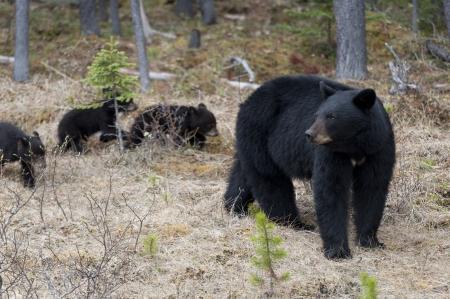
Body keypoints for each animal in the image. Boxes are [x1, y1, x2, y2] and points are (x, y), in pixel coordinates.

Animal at [224, 75, 394, 260]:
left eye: (332, 116)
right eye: (316, 115)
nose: (309, 134)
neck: (354, 147)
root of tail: (249, 99)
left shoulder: (378, 148)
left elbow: (372, 188)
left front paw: (370, 240)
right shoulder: (331, 153)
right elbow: (330, 189)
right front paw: (338, 250)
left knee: (243, 172)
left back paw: (234, 206)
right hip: (260, 133)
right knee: (270, 179)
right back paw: (292, 221)